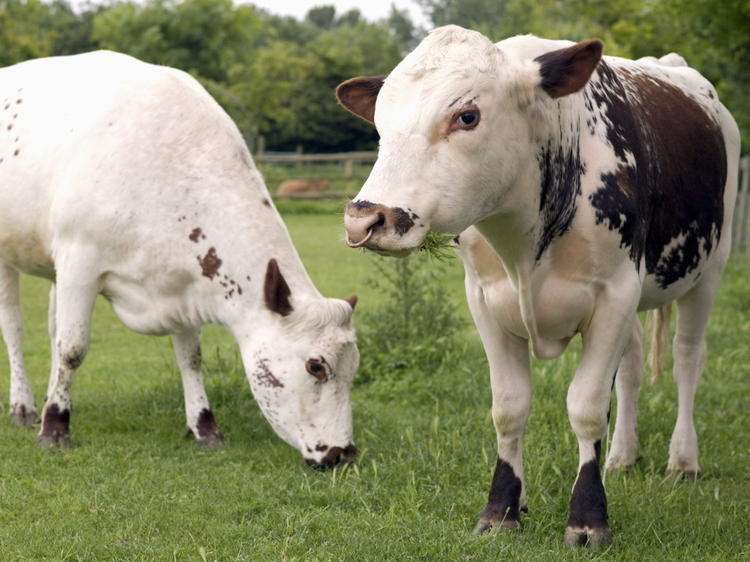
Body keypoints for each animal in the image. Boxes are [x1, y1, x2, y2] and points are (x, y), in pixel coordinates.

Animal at [0, 49, 362, 468]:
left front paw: (204, 425)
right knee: (14, 328)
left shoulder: (184, 284)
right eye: (315, 366)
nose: (343, 453)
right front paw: (55, 426)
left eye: (354, 369)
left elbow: (190, 357)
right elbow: (72, 349)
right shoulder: (79, 264)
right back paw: (24, 405)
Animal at [338, 25, 744, 544]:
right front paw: (503, 507)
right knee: (633, 367)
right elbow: (509, 406)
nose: (365, 218)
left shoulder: (614, 295)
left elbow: (587, 406)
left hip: (708, 270)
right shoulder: (485, 300)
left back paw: (683, 460)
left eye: (466, 115)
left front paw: (588, 518)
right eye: (381, 123)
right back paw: (622, 454)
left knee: (687, 358)